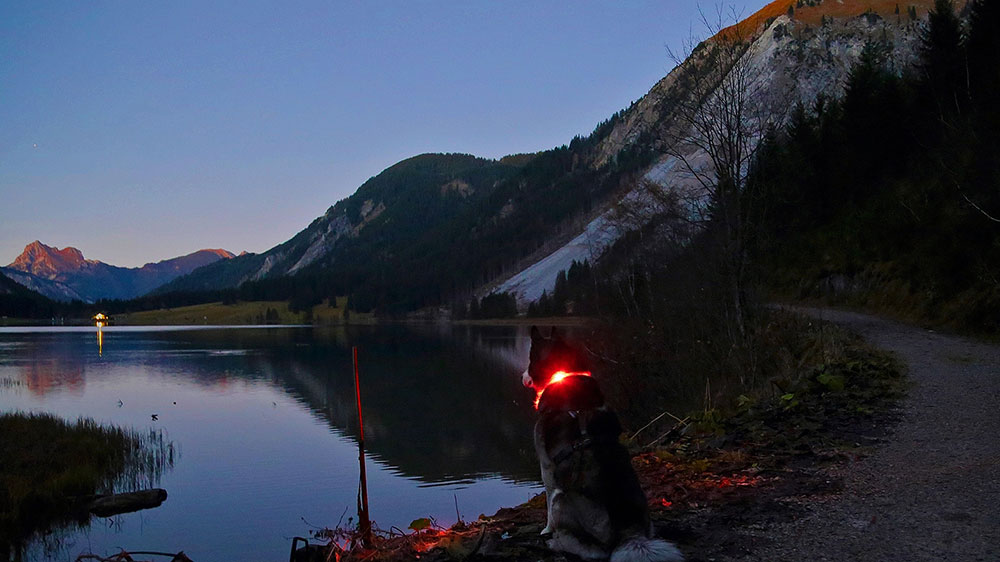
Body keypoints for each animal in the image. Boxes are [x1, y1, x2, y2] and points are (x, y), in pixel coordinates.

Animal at [520, 326, 684, 560]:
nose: (522, 376)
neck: (564, 376)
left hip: (563, 499)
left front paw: (545, 530)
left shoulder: (547, 468)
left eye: (530, 358)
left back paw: (555, 542)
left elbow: (548, 507)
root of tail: (629, 532)